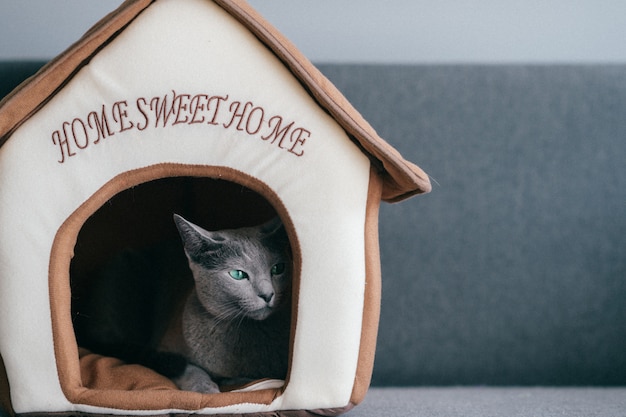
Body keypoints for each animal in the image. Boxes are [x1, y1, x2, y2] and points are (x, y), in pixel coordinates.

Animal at [72, 213, 292, 392]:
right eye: (238, 274)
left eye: (278, 269)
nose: (267, 295)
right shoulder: (163, 349)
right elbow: (188, 368)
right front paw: (205, 388)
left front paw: (236, 380)